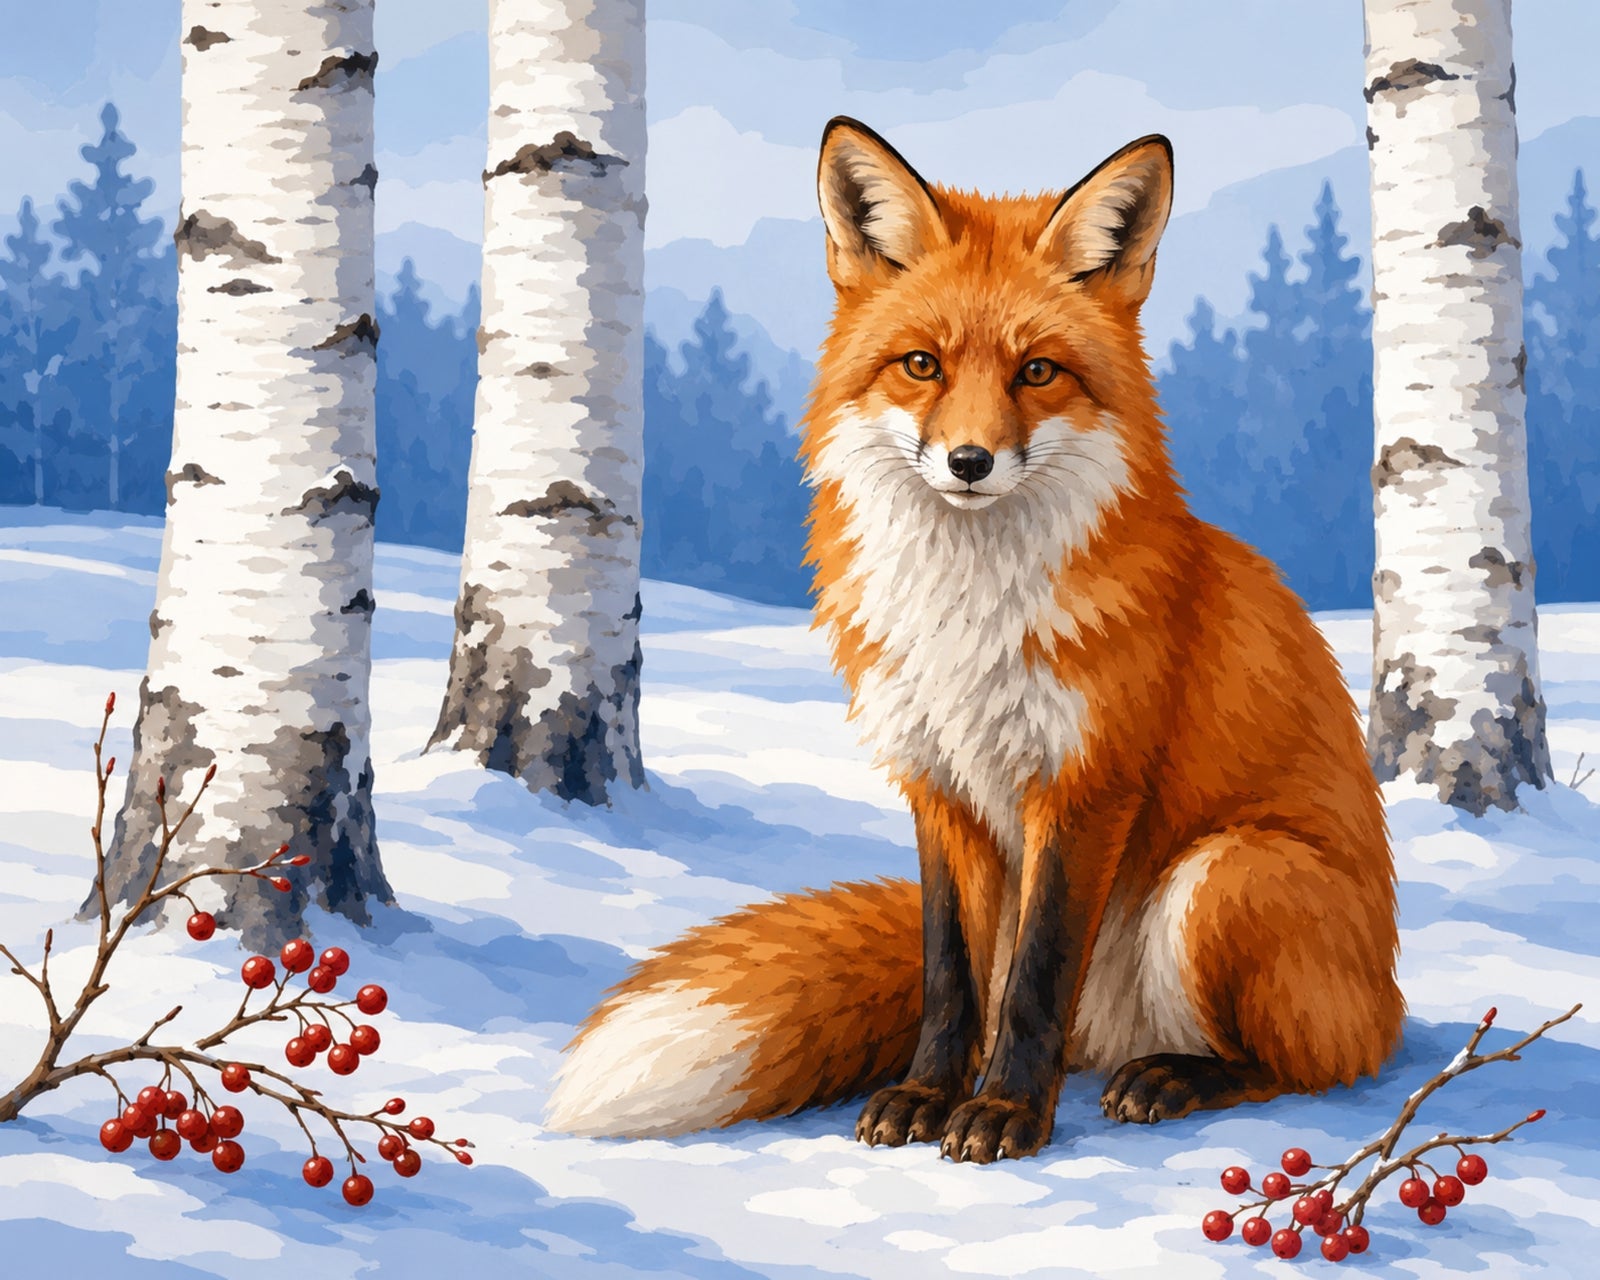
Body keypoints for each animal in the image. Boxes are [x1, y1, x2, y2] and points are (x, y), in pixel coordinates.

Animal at [544, 118, 1405, 1163]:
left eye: (1037, 371)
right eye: (923, 365)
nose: (968, 461)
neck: (967, 617)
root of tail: (1392, 1003)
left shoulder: (1085, 785)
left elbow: (1034, 974)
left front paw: (1004, 1114)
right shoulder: (937, 779)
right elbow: (953, 976)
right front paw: (928, 1095)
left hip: (1227, 876)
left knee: (1310, 1064)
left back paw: (1173, 1076)